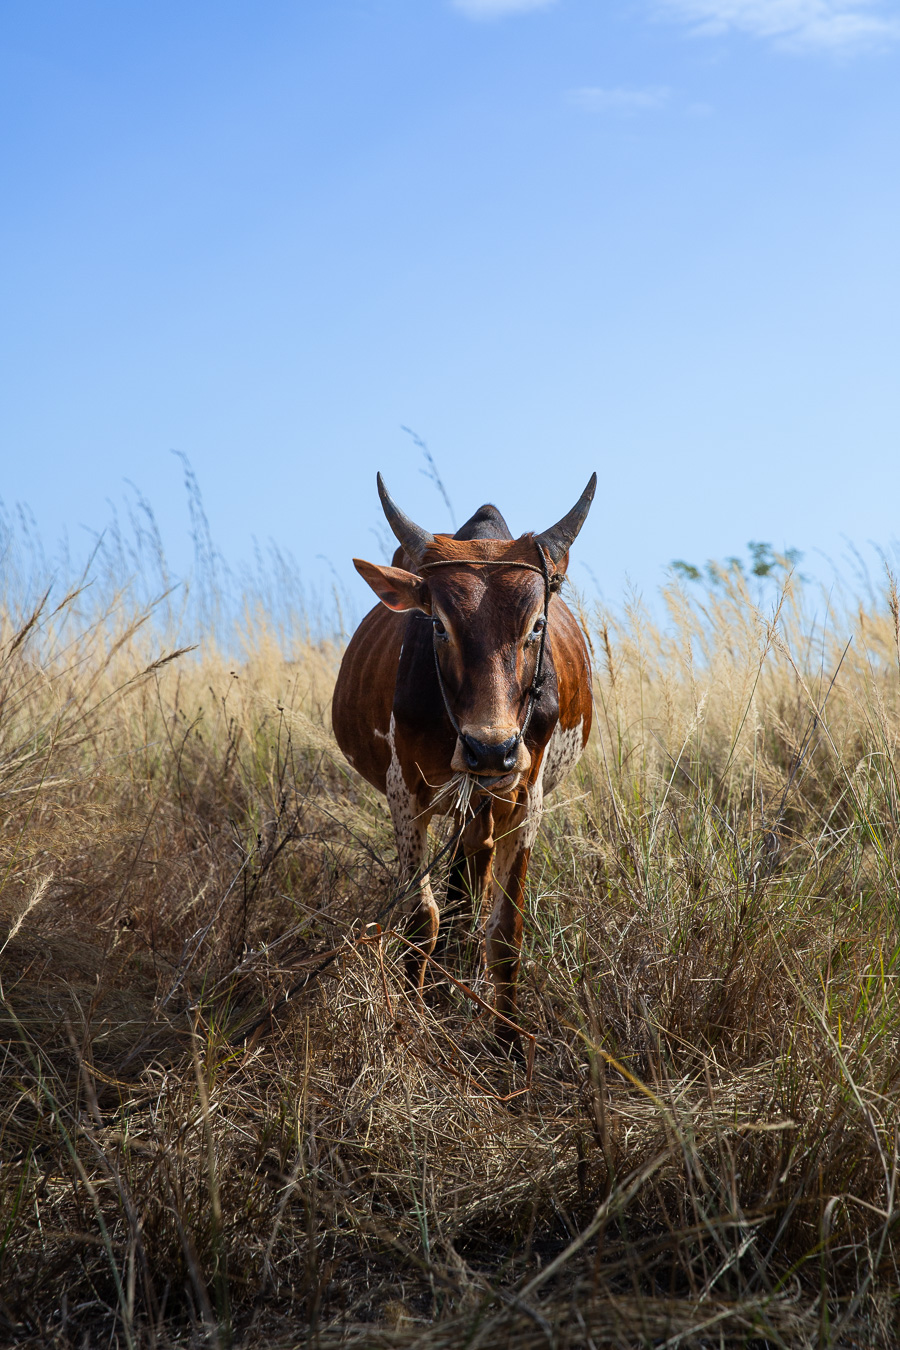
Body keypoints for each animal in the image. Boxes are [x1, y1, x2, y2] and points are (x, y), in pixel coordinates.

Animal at [332, 473, 596, 1051]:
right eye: (438, 625)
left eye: (536, 625)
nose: (491, 749)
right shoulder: (405, 792)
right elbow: (420, 920)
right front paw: (413, 1021)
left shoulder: (526, 796)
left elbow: (507, 930)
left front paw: (508, 1043)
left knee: (475, 869)